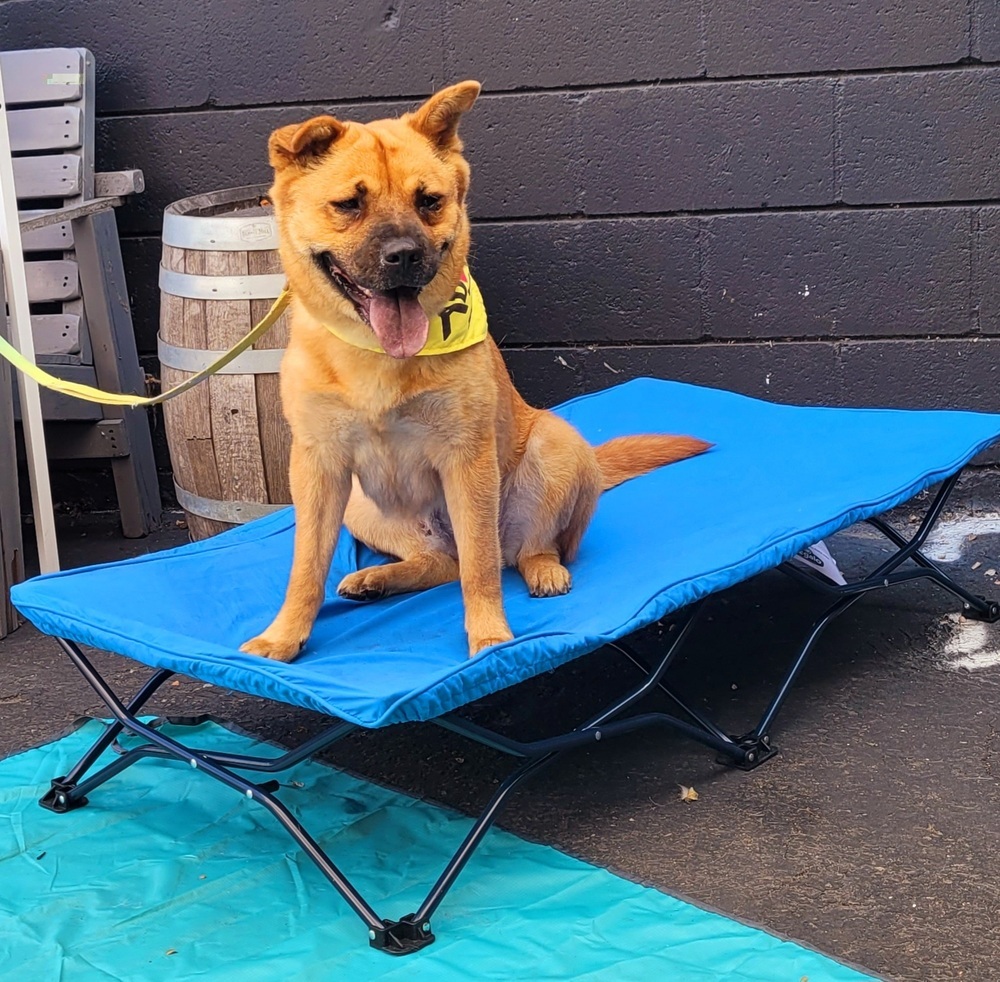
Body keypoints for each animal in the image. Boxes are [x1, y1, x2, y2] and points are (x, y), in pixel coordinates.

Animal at [240, 80, 712, 664]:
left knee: (520, 551)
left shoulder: (467, 458)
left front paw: (490, 639)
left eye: (429, 202)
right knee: (441, 563)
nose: (404, 255)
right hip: (360, 507)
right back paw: (380, 578)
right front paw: (284, 636)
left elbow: (481, 566)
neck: (378, 357)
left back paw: (543, 570)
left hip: (556, 445)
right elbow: (305, 566)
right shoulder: (318, 469)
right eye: (349, 204)